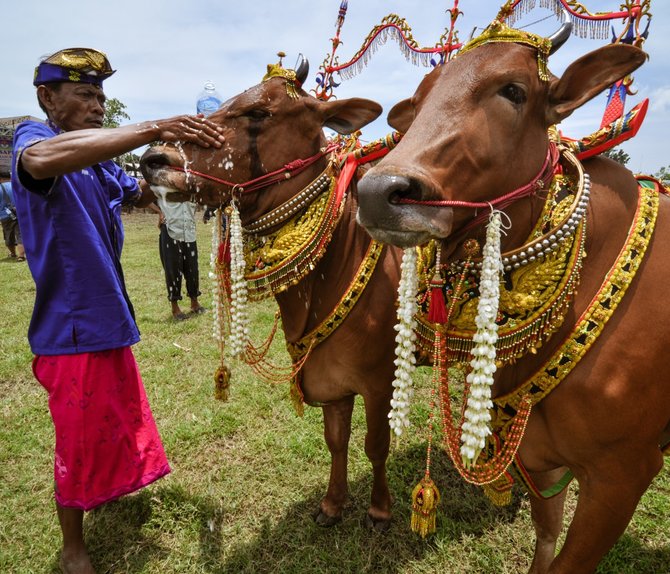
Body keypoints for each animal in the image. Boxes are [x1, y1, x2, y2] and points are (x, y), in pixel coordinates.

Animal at [141, 62, 404, 532]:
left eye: (259, 113)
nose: (154, 159)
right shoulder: (330, 378)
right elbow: (336, 441)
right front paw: (332, 505)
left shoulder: (379, 380)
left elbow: (376, 445)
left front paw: (379, 509)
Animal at [356, 15, 670, 574]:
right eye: (419, 100)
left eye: (514, 91)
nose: (378, 193)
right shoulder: (540, 459)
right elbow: (544, 544)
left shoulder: (624, 472)